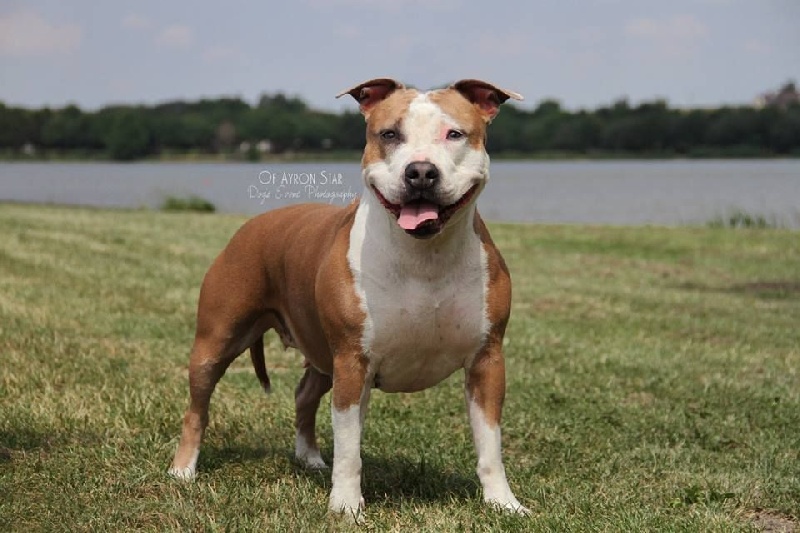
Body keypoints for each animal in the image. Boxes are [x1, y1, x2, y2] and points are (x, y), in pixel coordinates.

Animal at [169, 78, 528, 518]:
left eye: (455, 134)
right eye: (389, 135)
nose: (420, 172)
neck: (424, 255)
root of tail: (253, 223)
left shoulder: (486, 361)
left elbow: (490, 444)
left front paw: (503, 503)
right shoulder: (353, 363)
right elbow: (348, 447)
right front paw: (345, 506)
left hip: (320, 352)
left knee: (304, 395)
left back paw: (309, 457)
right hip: (216, 341)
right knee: (197, 407)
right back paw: (183, 470)